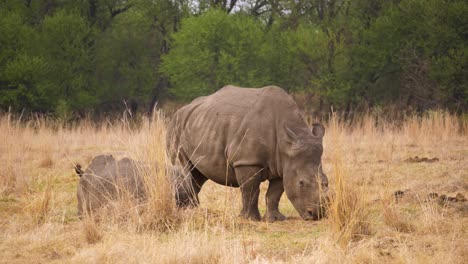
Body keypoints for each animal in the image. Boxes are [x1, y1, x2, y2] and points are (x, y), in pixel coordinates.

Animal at [166, 85, 328, 222]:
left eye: (326, 182)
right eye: (301, 182)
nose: (316, 215)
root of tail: (180, 110)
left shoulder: (283, 163)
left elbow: (275, 193)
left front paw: (275, 219)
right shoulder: (247, 161)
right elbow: (250, 190)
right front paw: (250, 219)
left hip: (200, 124)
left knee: (197, 174)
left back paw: (191, 209)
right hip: (176, 128)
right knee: (182, 168)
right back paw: (187, 210)